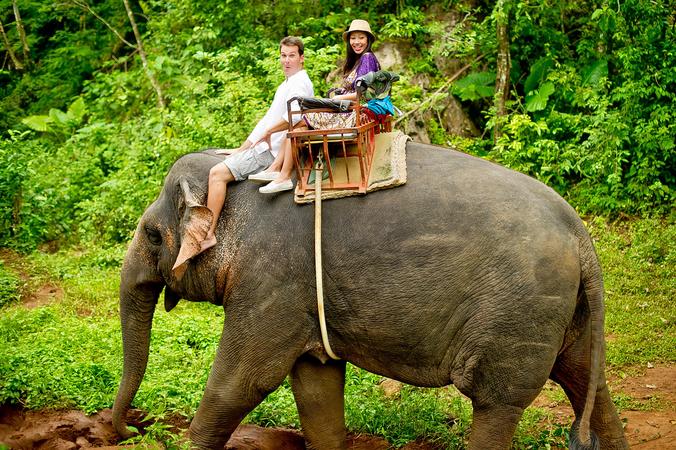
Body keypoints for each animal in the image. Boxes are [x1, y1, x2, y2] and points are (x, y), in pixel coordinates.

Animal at [112, 142, 628, 449]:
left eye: (152, 235)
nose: (128, 428)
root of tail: (579, 232)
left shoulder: (271, 278)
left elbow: (242, 382)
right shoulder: (300, 295)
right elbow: (315, 383)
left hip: (519, 311)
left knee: (497, 402)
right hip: (567, 310)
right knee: (590, 383)